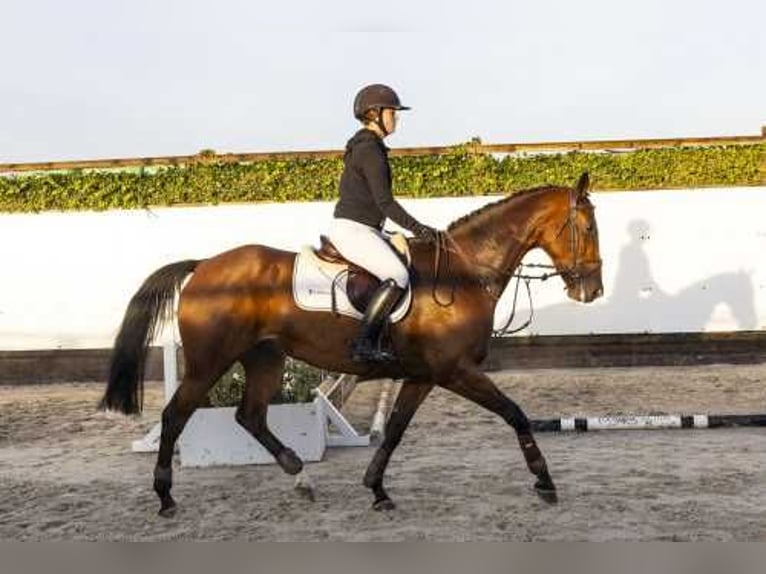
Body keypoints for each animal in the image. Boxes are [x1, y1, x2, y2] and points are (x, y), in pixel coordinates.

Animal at [102, 171, 608, 516]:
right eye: (587, 227)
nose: (592, 291)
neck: (464, 272)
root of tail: (204, 264)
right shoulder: (456, 371)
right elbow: (515, 413)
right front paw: (544, 482)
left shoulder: (424, 376)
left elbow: (397, 430)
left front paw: (377, 489)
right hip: (210, 362)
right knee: (175, 415)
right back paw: (166, 497)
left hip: (264, 358)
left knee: (250, 415)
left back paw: (300, 476)